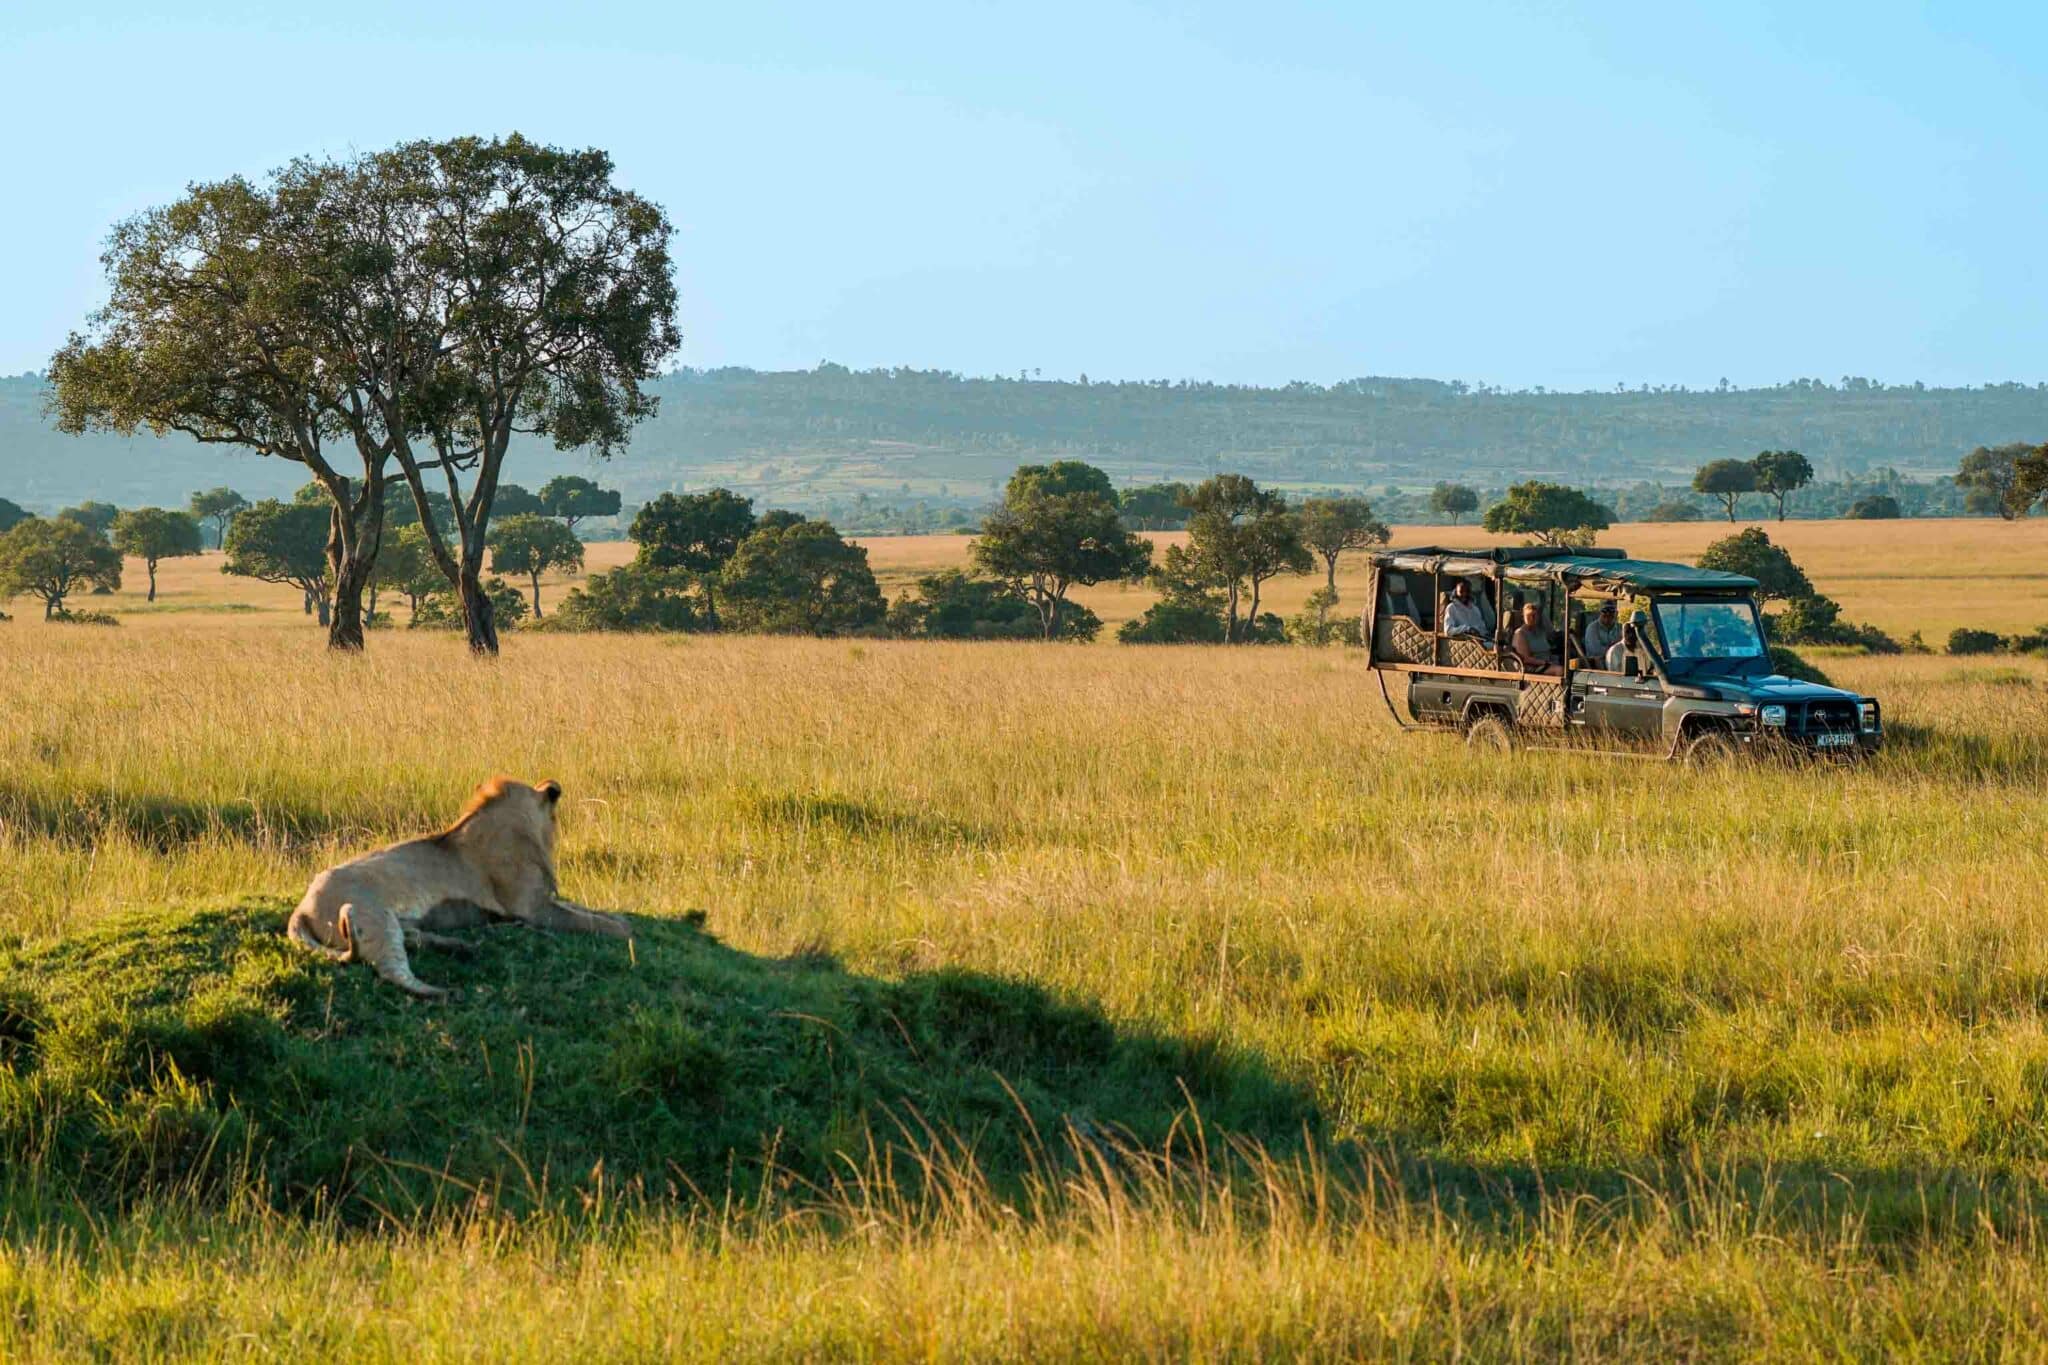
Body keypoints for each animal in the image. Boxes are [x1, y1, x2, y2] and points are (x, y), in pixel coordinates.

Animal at [287, 776, 631, 999]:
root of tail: (301, 907)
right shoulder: (533, 908)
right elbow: (589, 921)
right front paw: (624, 931)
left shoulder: (543, 902)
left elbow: (586, 910)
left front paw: (620, 918)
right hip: (374, 917)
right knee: (389, 968)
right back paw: (444, 990)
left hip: (394, 923)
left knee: (412, 939)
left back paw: (461, 947)